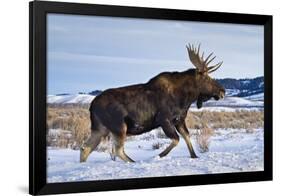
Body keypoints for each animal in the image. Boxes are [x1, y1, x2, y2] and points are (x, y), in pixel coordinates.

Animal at [80, 44, 224, 162]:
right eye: (207, 78)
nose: (222, 91)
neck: (186, 98)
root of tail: (92, 106)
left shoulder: (179, 120)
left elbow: (187, 137)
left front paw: (194, 156)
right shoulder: (164, 119)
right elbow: (176, 139)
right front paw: (159, 155)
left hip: (100, 128)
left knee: (85, 148)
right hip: (119, 126)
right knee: (117, 150)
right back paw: (133, 162)